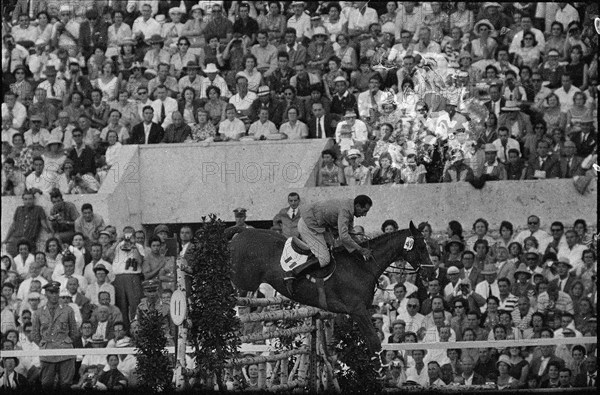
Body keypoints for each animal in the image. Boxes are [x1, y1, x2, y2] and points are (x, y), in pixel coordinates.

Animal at [230, 221, 432, 354]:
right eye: (422, 247)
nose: (430, 271)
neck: (363, 265)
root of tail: (243, 230)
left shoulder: (350, 312)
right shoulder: (358, 310)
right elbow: (374, 343)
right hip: (244, 278)